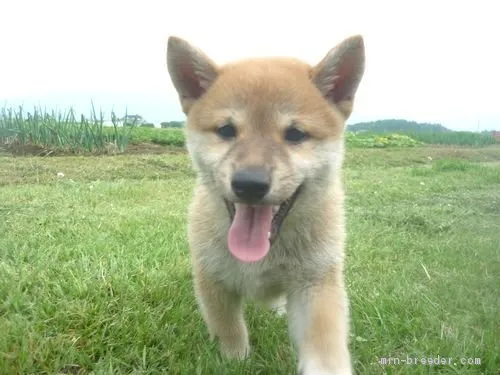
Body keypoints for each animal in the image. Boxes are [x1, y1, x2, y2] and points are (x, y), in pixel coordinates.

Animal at [166, 33, 366, 374]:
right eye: (226, 130)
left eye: (295, 134)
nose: (249, 183)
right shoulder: (213, 279)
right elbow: (230, 331)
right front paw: (235, 360)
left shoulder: (317, 283)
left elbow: (325, 349)